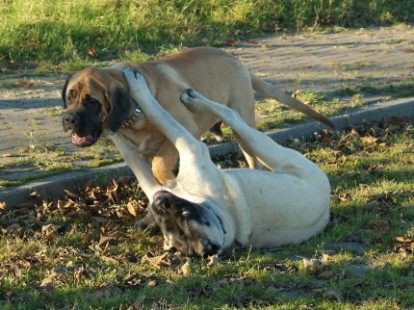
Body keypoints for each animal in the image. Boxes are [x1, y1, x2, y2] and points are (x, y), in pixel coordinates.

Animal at [122, 70, 330, 256]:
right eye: (165, 226)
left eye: (185, 214)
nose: (159, 202)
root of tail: (326, 205)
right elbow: (143, 175)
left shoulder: (190, 146)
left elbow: (163, 118)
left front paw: (139, 89)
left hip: (273, 151)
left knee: (230, 114)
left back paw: (195, 100)